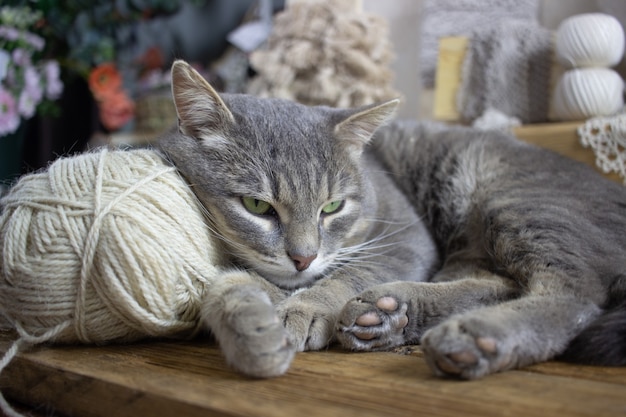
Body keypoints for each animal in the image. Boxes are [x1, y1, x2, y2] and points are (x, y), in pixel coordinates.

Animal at [156, 61, 438, 376]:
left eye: (333, 206)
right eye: (256, 205)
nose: (304, 259)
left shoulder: (407, 237)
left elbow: (354, 273)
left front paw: (306, 307)